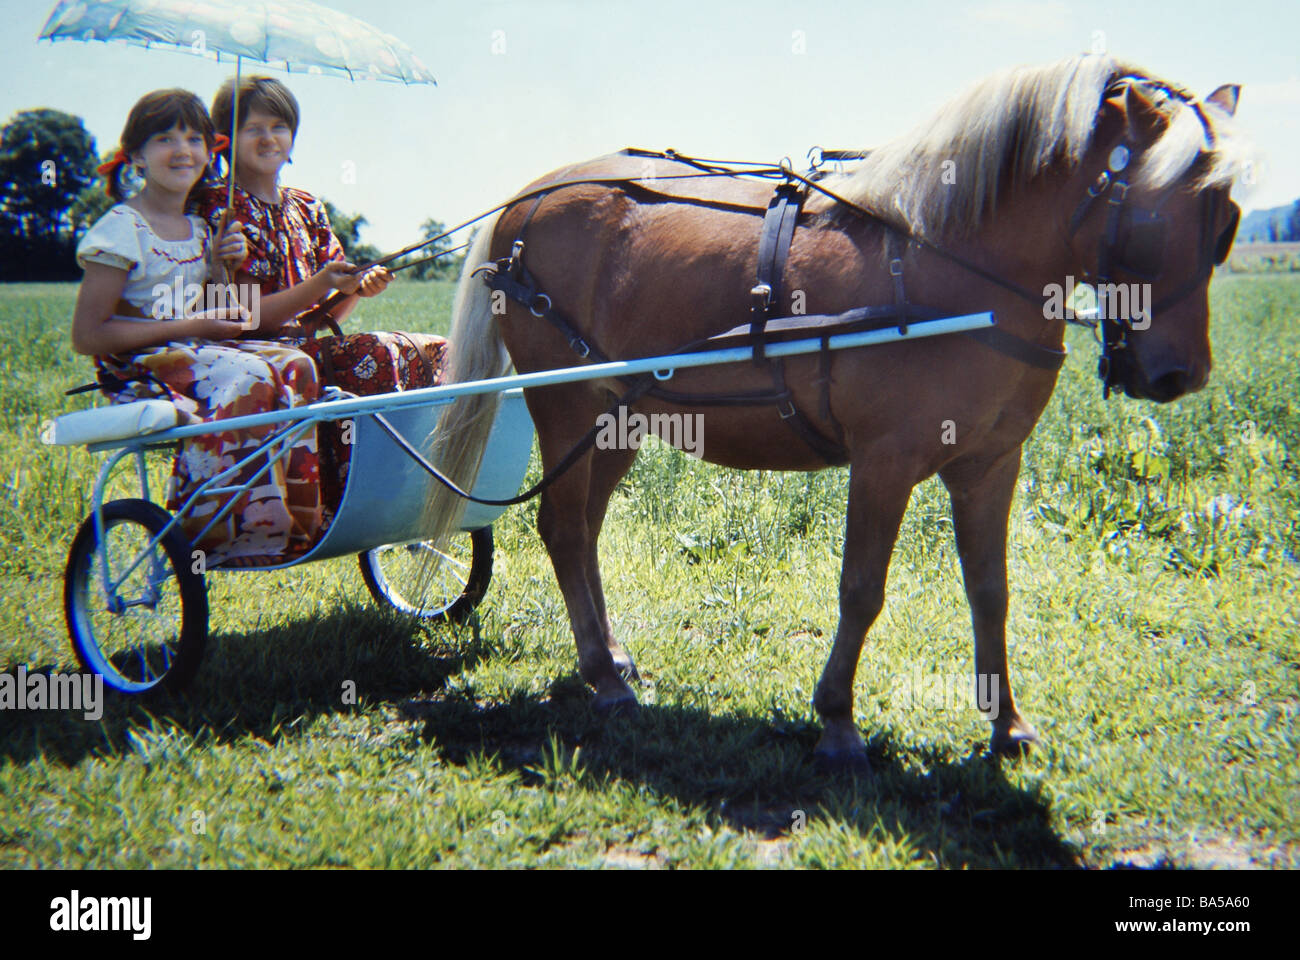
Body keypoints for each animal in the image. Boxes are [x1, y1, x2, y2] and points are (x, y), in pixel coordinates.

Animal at [426, 54, 1250, 768]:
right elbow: (861, 590)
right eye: (1156, 218)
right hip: (564, 405)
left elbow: (991, 591)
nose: (1179, 374)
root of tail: (526, 201)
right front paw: (838, 722)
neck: (949, 259)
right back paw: (602, 675)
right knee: (565, 529)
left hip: (617, 417)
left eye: (1228, 222)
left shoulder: (990, 465)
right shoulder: (884, 463)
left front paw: (1006, 724)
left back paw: (610, 654)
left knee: (584, 529)